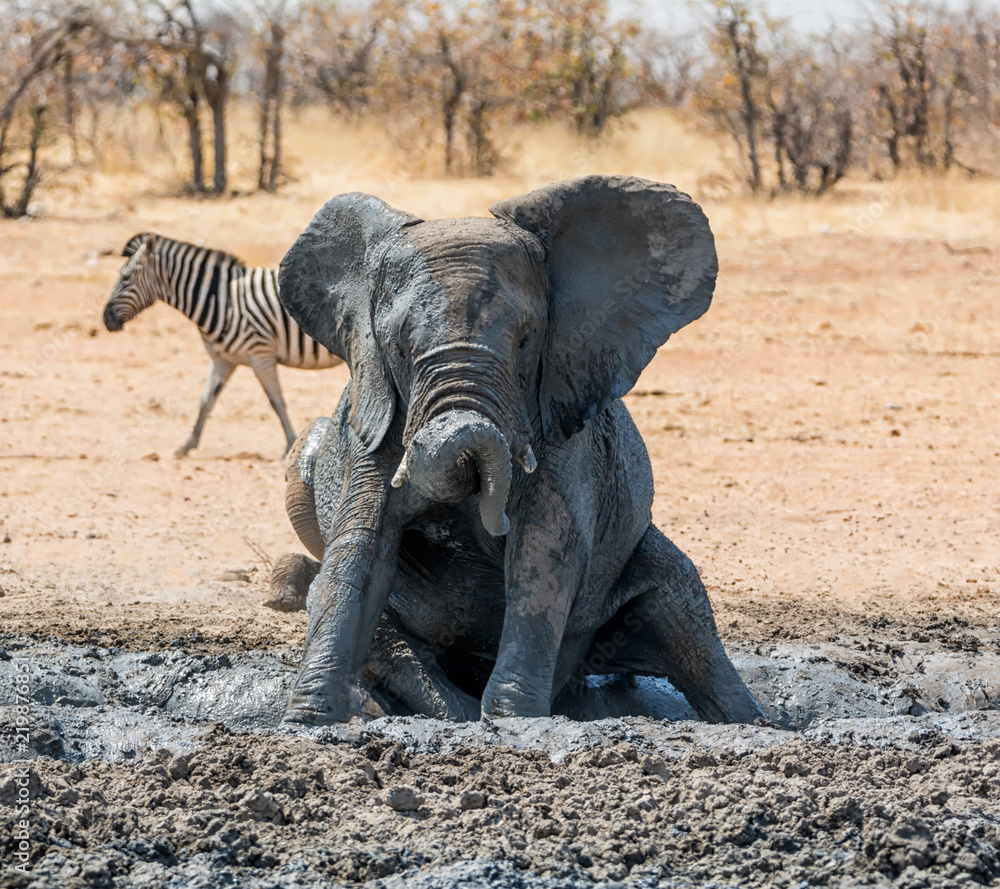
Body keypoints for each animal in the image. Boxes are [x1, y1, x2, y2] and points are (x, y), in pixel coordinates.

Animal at [272, 174, 763, 726]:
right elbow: (362, 548)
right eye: (399, 347)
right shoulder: (375, 419)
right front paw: (306, 720)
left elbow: (541, 551)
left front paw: (514, 719)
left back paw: (760, 722)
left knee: (684, 609)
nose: (487, 510)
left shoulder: (566, 425)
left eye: (527, 341)